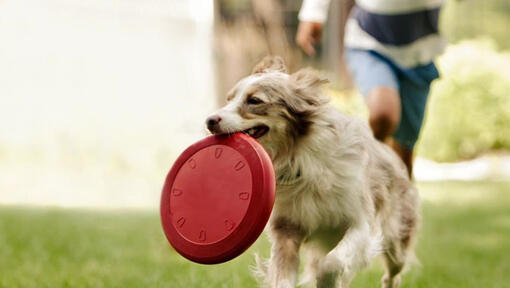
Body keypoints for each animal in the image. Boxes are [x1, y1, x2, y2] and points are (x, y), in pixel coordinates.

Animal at [205, 56, 420, 288]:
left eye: (254, 100)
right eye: (229, 99)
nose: (209, 121)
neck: (298, 158)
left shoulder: (361, 223)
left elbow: (332, 263)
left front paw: (327, 281)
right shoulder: (286, 229)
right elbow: (283, 278)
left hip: (396, 240)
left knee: (392, 273)